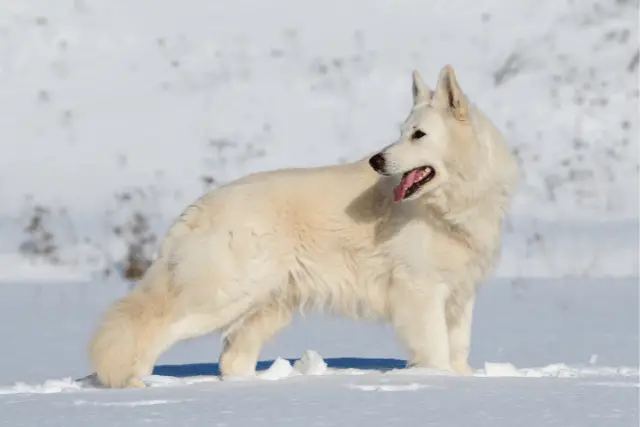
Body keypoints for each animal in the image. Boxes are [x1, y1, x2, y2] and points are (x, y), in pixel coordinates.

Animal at [89, 65, 520, 390]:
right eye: (400, 132)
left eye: (418, 135)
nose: (377, 161)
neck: (449, 206)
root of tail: (199, 206)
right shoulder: (421, 291)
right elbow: (436, 349)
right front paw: (440, 381)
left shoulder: (460, 294)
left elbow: (458, 348)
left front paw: (461, 380)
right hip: (223, 298)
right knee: (154, 330)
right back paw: (133, 384)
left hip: (266, 308)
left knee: (231, 359)